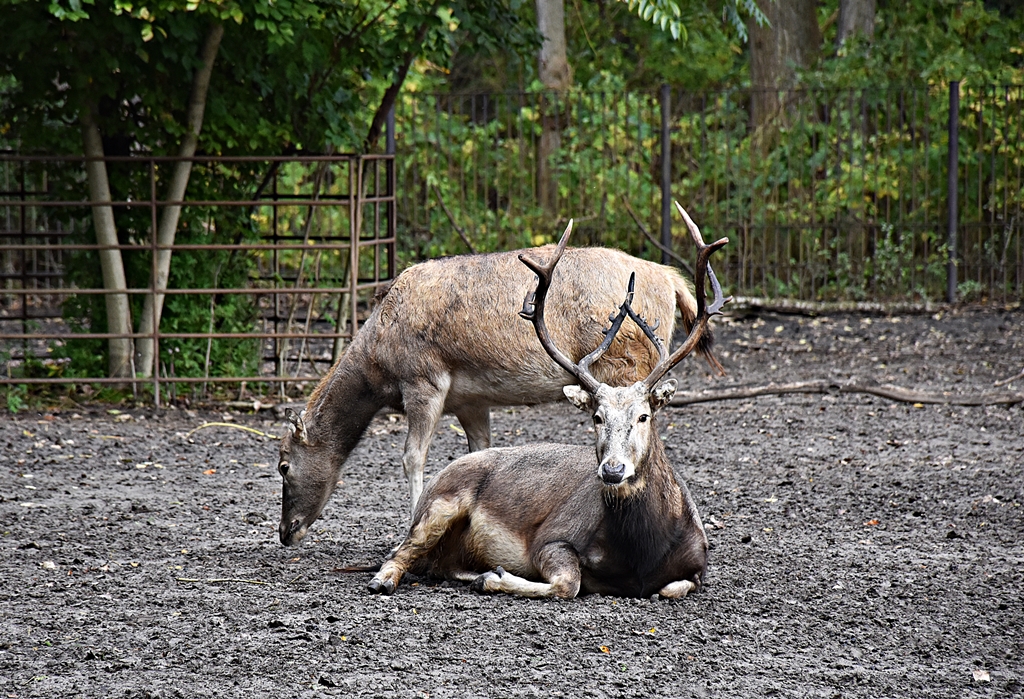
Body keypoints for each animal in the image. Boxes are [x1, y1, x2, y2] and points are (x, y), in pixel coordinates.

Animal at [277, 222, 723, 547]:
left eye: (283, 466)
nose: (285, 532)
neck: (378, 363)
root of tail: (672, 281)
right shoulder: (470, 401)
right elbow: (478, 452)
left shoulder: (424, 380)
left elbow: (412, 457)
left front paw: (408, 528)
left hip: (625, 364)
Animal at [366, 203, 729, 599]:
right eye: (596, 417)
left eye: (644, 416)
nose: (613, 470)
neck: (642, 554)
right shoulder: (553, 538)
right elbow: (568, 582)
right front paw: (496, 577)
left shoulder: (698, 564)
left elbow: (671, 587)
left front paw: (490, 576)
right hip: (438, 504)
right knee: (402, 551)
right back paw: (386, 578)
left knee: (440, 565)